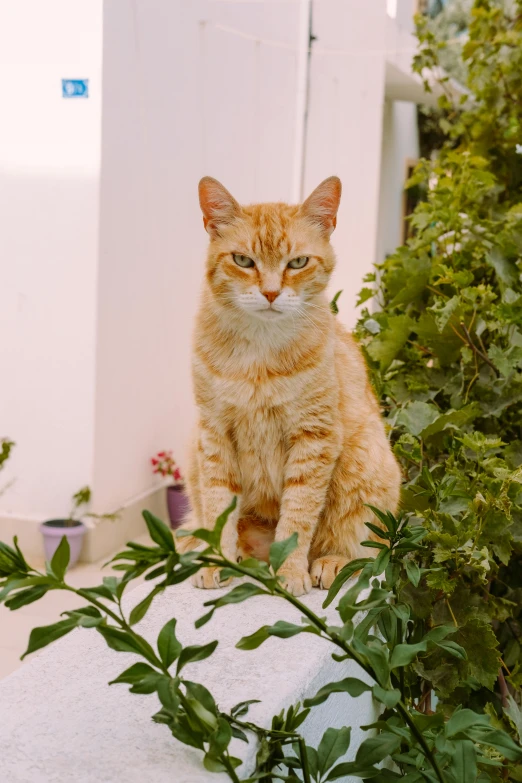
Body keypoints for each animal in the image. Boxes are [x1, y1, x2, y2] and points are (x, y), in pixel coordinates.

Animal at [177, 176, 400, 596]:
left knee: (365, 549)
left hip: (368, 465)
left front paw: (291, 572)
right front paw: (218, 562)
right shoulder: (214, 434)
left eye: (297, 262)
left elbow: (298, 515)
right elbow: (218, 507)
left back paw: (330, 563)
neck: (259, 353)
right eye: (243, 260)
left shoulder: (314, 436)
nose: (269, 292)